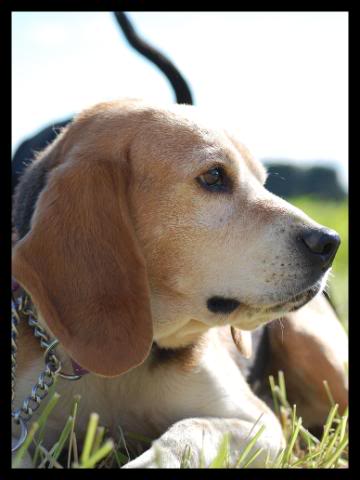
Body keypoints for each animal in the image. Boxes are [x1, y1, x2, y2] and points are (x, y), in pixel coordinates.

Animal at [11, 98, 348, 468]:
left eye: (262, 181)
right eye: (214, 176)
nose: (329, 243)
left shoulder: (255, 422)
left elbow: (189, 432)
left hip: (313, 346)